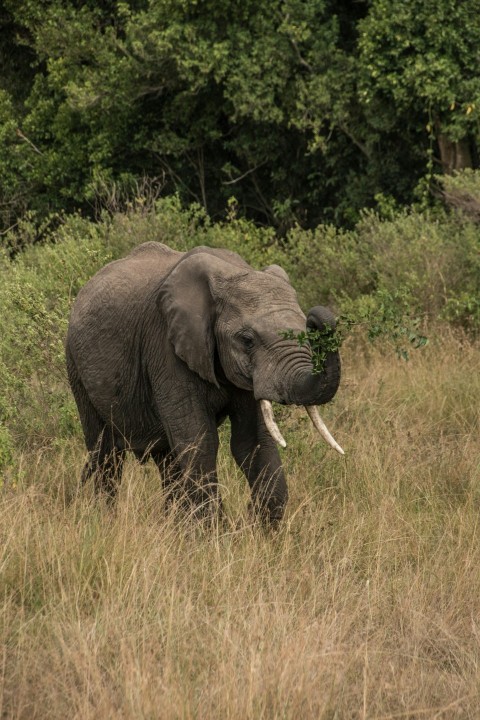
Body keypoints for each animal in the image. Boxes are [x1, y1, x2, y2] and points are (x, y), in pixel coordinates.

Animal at [65, 242, 344, 524]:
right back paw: (105, 520)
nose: (316, 318)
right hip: (75, 364)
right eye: (247, 340)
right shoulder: (166, 349)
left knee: (167, 459)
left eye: (306, 332)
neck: (232, 272)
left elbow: (252, 441)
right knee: (105, 453)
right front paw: (215, 531)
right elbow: (200, 442)